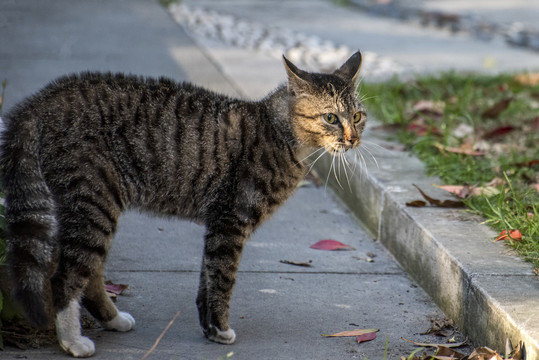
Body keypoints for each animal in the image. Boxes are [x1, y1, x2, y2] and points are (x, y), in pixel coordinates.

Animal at [0, 51, 368, 358]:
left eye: (358, 116)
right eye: (331, 117)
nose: (353, 138)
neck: (279, 131)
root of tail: (42, 99)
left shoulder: (218, 224)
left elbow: (207, 277)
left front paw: (209, 329)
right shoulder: (230, 219)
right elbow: (222, 277)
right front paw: (221, 328)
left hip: (94, 206)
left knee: (89, 274)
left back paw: (114, 320)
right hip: (93, 202)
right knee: (65, 277)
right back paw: (73, 341)